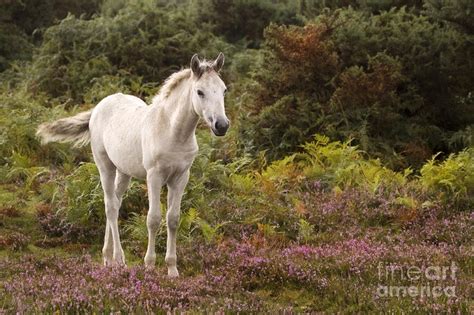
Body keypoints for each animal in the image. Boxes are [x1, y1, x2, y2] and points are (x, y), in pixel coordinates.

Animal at [36, 53, 229, 278]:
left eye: (224, 90)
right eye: (200, 92)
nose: (222, 126)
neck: (172, 131)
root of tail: (98, 107)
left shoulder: (181, 177)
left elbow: (173, 219)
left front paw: (172, 269)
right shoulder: (154, 177)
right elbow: (153, 218)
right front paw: (150, 265)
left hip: (124, 172)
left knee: (116, 202)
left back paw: (107, 258)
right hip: (105, 166)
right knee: (110, 206)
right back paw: (119, 259)